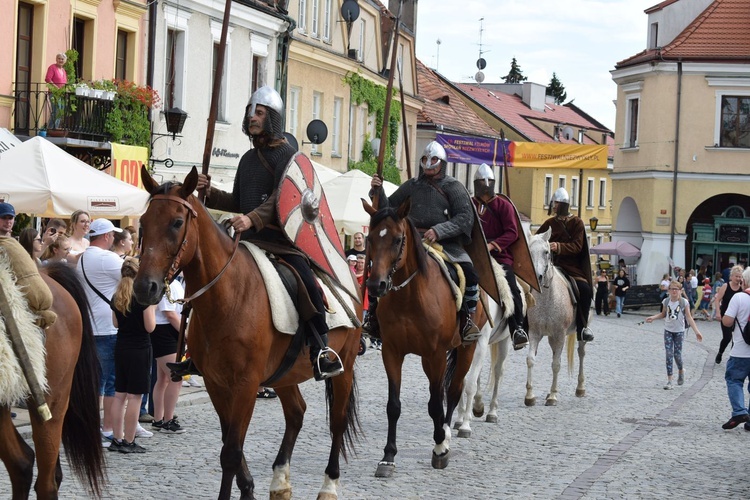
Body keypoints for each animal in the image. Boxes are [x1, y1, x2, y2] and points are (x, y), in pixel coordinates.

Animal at [136, 168, 364, 500]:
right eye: (142, 223)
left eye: (177, 222)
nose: (145, 288)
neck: (228, 296)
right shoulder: (217, 384)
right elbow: (230, 444)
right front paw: (248, 489)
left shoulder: (246, 385)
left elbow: (231, 452)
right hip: (285, 373)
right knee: (296, 412)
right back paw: (280, 481)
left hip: (343, 365)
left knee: (337, 420)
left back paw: (328, 485)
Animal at [362, 198, 482, 476]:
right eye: (370, 238)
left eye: (397, 239)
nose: (375, 286)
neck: (410, 297)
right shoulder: (392, 352)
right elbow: (393, 405)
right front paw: (388, 457)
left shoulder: (435, 355)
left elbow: (436, 403)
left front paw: (439, 449)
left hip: (465, 350)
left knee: (453, 390)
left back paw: (446, 434)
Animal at [524, 228, 592, 406]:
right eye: (529, 251)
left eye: (546, 252)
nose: (537, 277)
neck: (547, 298)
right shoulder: (534, 333)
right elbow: (530, 359)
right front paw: (530, 396)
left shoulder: (560, 334)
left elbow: (556, 364)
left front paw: (553, 396)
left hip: (579, 333)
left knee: (581, 353)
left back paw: (580, 388)